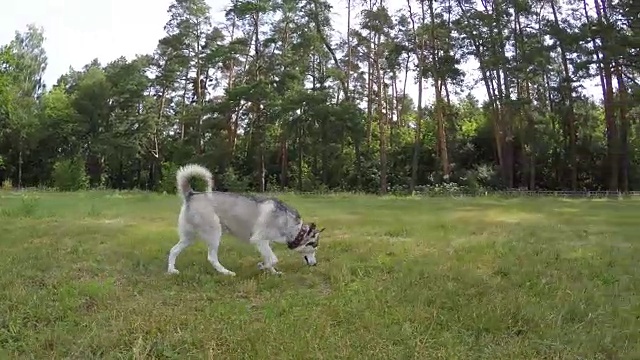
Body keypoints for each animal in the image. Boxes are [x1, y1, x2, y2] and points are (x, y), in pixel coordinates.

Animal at [166, 164, 324, 276]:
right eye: (314, 247)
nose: (315, 264)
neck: (293, 227)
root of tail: (192, 194)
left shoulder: (265, 243)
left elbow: (270, 259)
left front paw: (273, 272)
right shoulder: (259, 239)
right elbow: (273, 259)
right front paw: (262, 266)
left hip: (189, 238)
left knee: (173, 250)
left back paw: (171, 271)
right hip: (214, 233)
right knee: (212, 258)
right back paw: (226, 272)